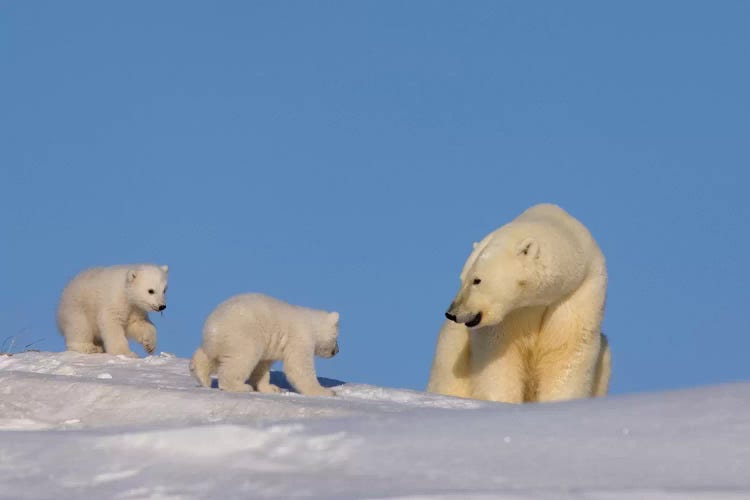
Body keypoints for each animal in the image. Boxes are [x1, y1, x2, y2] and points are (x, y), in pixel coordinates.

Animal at [191, 294, 340, 396]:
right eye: (336, 337)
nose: (337, 351)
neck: (311, 324)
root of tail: (213, 326)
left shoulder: (270, 344)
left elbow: (262, 366)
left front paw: (271, 388)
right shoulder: (300, 338)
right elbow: (299, 367)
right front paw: (326, 392)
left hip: (220, 342)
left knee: (209, 356)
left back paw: (201, 376)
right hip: (243, 335)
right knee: (242, 358)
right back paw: (240, 386)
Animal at [428, 203, 612, 402]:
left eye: (477, 280)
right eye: (462, 279)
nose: (452, 312)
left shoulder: (576, 293)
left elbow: (565, 352)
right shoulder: (512, 314)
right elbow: (500, 358)